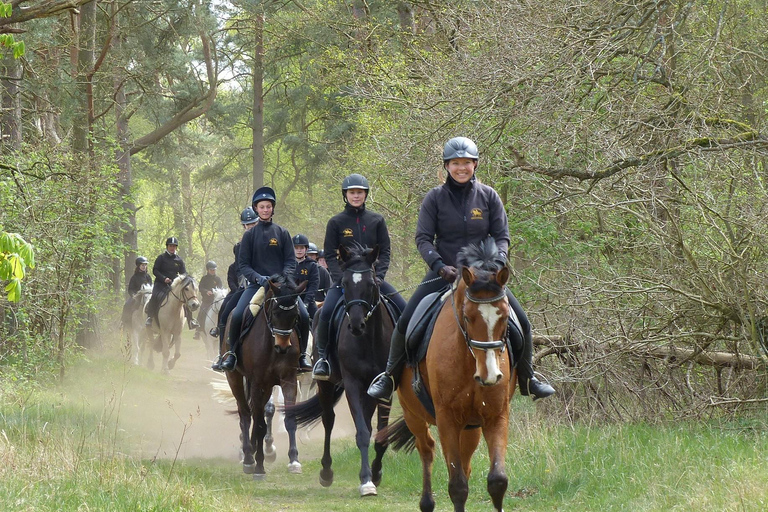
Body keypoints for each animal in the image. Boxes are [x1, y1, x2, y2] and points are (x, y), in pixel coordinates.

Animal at [222, 276, 306, 480]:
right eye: (275, 312)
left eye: (295, 315)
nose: (283, 347)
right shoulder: (257, 382)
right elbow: (259, 423)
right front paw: (258, 466)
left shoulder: (288, 380)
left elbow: (289, 418)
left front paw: (294, 460)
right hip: (235, 378)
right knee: (245, 413)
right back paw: (248, 457)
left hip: (266, 386)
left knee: (255, 411)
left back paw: (252, 450)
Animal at [288, 243, 396, 496]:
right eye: (345, 284)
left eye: (372, 283)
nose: (356, 325)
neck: (370, 340)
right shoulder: (353, 383)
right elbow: (362, 433)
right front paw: (366, 481)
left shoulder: (384, 387)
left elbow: (380, 433)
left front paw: (375, 474)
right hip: (325, 384)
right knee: (328, 420)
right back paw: (326, 472)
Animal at [382, 241, 516, 512]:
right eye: (467, 317)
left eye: (505, 317)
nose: (490, 376)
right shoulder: (447, 420)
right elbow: (457, 485)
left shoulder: (496, 416)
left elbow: (497, 480)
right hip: (414, 416)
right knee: (427, 450)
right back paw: (426, 502)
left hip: (471, 427)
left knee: (465, 462)